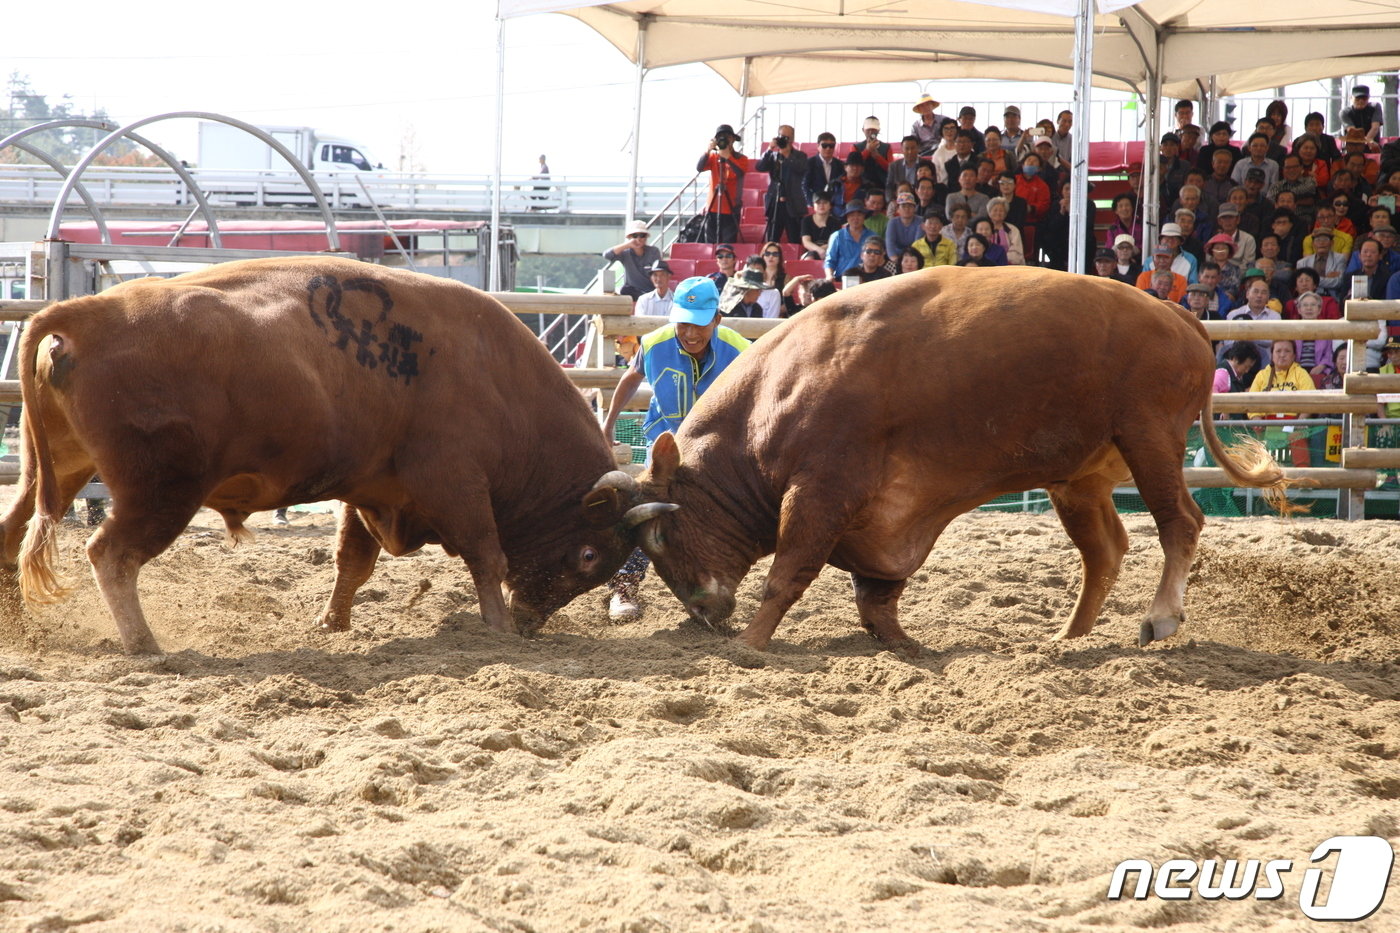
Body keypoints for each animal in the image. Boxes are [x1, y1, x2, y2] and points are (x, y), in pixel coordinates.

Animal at [2, 250, 641, 650]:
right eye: (589, 555)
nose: (532, 622)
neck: (494, 373)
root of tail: (85, 314)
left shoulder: (370, 490)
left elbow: (352, 563)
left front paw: (332, 623)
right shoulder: (455, 482)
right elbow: (488, 556)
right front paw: (498, 628)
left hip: (54, 470)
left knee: (12, 533)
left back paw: (19, 628)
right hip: (158, 491)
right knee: (111, 554)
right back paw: (144, 644)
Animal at [630, 264, 1282, 650]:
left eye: (661, 536)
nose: (704, 613)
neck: (776, 391)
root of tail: (1176, 314)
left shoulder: (822, 491)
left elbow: (788, 573)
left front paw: (751, 643)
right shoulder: (883, 516)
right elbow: (876, 594)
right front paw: (902, 645)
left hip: (1150, 439)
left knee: (1180, 522)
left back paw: (1160, 616)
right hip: (1080, 477)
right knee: (1104, 551)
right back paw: (1068, 636)